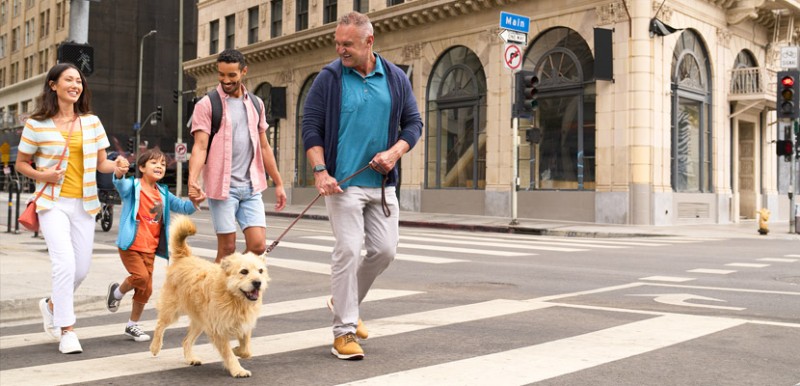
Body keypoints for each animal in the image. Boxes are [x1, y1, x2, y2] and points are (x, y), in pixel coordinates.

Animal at [145, 216, 268, 378]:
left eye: (260, 271)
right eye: (244, 271)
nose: (258, 283)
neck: (233, 297)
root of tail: (184, 257)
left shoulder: (244, 325)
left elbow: (247, 350)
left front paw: (237, 350)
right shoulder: (218, 330)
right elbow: (228, 354)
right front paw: (237, 369)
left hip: (200, 321)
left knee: (186, 340)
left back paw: (190, 358)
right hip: (172, 311)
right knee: (160, 325)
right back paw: (155, 347)